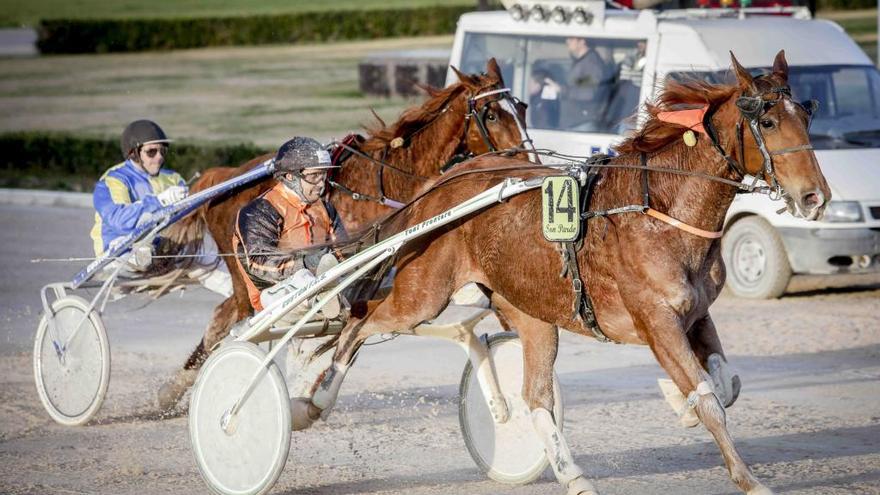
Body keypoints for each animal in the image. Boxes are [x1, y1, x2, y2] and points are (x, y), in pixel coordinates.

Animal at [300, 52, 828, 494]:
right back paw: (313, 401)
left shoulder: (696, 315)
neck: (661, 211)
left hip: (532, 314)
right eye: (767, 121)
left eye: (806, 116)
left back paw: (573, 475)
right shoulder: (656, 321)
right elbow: (710, 400)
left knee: (536, 398)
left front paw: (679, 405)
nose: (815, 197)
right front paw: (748, 478)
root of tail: (438, 187)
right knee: (359, 323)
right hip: (422, 294)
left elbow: (726, 384)